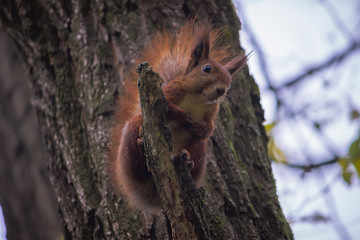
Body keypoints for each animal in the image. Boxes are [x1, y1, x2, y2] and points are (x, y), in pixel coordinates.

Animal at [107, 20, 248, 212]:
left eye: (229, 82)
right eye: (206, 68)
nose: (222, 90)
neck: (198, 96)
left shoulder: (212, 111)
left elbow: (209, 129)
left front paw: (197, 126)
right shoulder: (171, 90)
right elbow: (166, 107)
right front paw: (183, 115)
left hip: (198, 148)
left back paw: (188, 161)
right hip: (133, 133)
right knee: (137, 166)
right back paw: (141, 147)